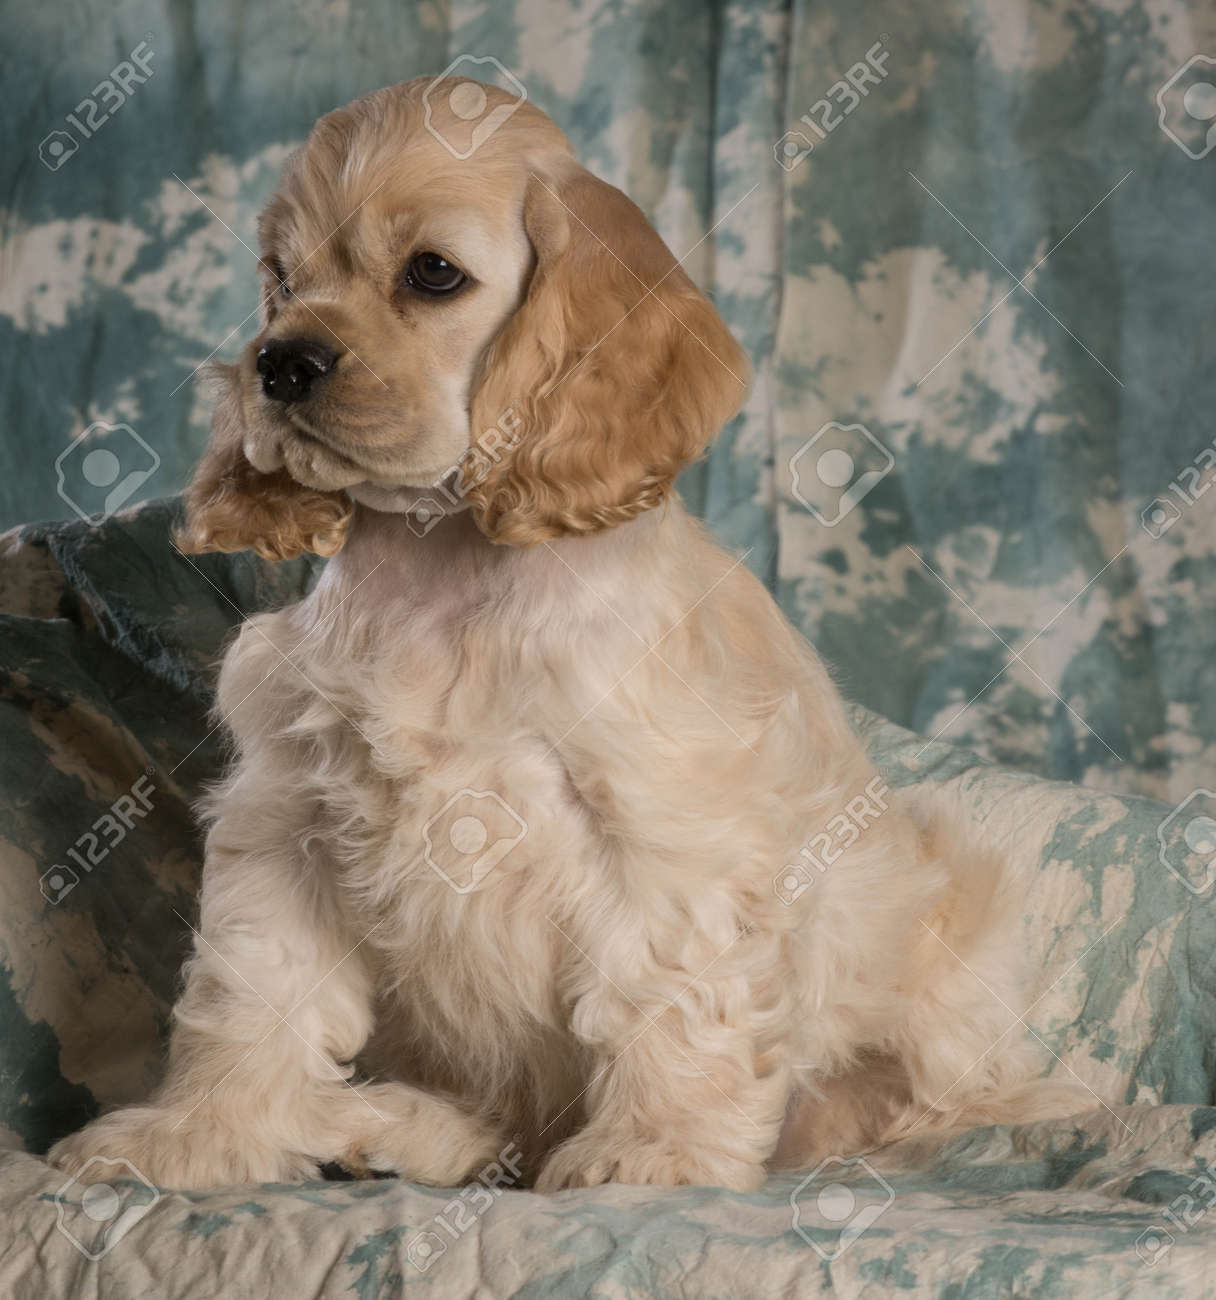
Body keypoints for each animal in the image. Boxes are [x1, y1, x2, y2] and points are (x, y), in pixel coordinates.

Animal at [47, 76, 1076, 1190]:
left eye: (433, 273)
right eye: (280, 281)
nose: (278, 365)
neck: (442, 568)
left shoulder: (665, 832)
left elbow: (669, 996)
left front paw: (655, 1151)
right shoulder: (289, 819)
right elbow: (249, 991)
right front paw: (195, 1133)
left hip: (953, 931)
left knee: (910, 1100)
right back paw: (397, 1130)